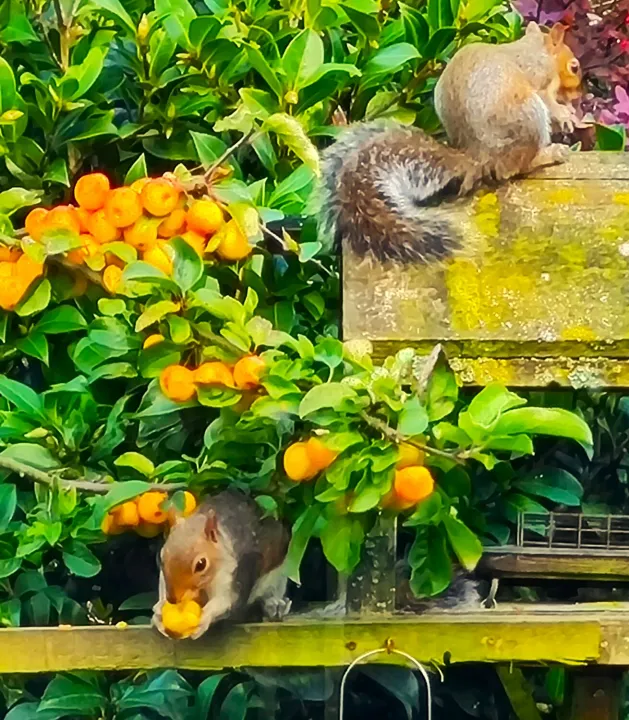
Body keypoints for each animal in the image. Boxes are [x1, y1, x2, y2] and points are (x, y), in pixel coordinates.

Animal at [152, 489, 291, 639]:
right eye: (161, 557)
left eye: (201, 564)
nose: (172, 599)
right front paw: (159, 610)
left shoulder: (231, 574)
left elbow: (225, 601)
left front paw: (205, 618)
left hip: (278, 573)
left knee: (270, 592)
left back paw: (274, 604)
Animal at [318, 22, 582, 264]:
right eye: (574, 67)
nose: (579, 95)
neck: (537, 50)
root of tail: (477, 156)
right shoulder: (539, 80)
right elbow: (550, 102)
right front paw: (565, 115)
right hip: (530, 115)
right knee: (514, 169)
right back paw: (550, 154)